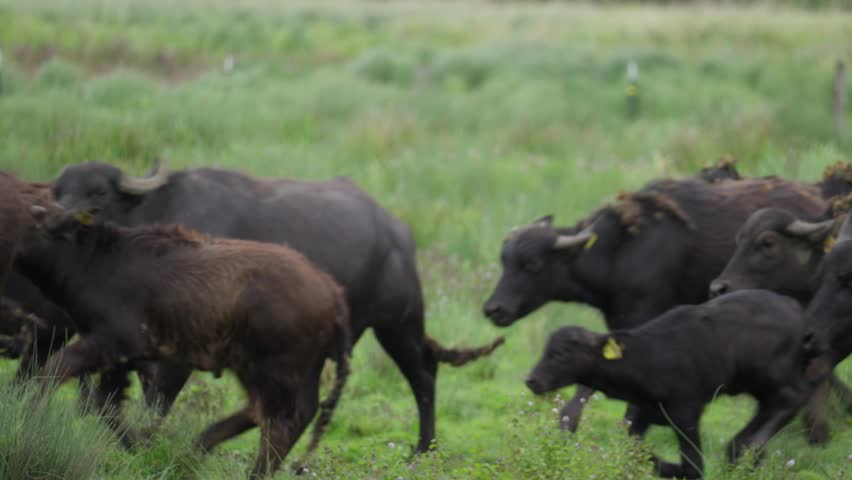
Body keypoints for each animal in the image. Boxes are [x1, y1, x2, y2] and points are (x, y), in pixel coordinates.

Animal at [20, 207, 352, 480]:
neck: (96, 259)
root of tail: (332, 291)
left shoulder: (111, 343)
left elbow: (57, 370)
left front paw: (29, 422)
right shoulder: (122, 359)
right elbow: (105, 402)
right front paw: (142, 448)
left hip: (272, 372)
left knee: (279, 424)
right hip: (266, 370)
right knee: (277, 413)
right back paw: (195, 448)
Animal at [50, 160, 502, 450]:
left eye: (97, 191)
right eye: (59, 190)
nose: (60, 220)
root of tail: (400, 233)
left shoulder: (175, 353)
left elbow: (156, 400)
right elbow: (96, 397)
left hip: (397, 324)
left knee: (423, 374)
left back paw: (423, 448)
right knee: (306, 406)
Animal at [528, 290, 816, 478]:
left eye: (562, 353)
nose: (532, 380)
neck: (648, 358)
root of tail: (796, 310)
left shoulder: (686, 414)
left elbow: (693, 466)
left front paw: (671, 467)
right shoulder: (641, 413)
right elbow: (632, 452)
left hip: (774, 374)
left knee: (795, 397)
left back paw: (751, 446)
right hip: (753, 382)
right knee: (768, 408)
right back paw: (741, 450)